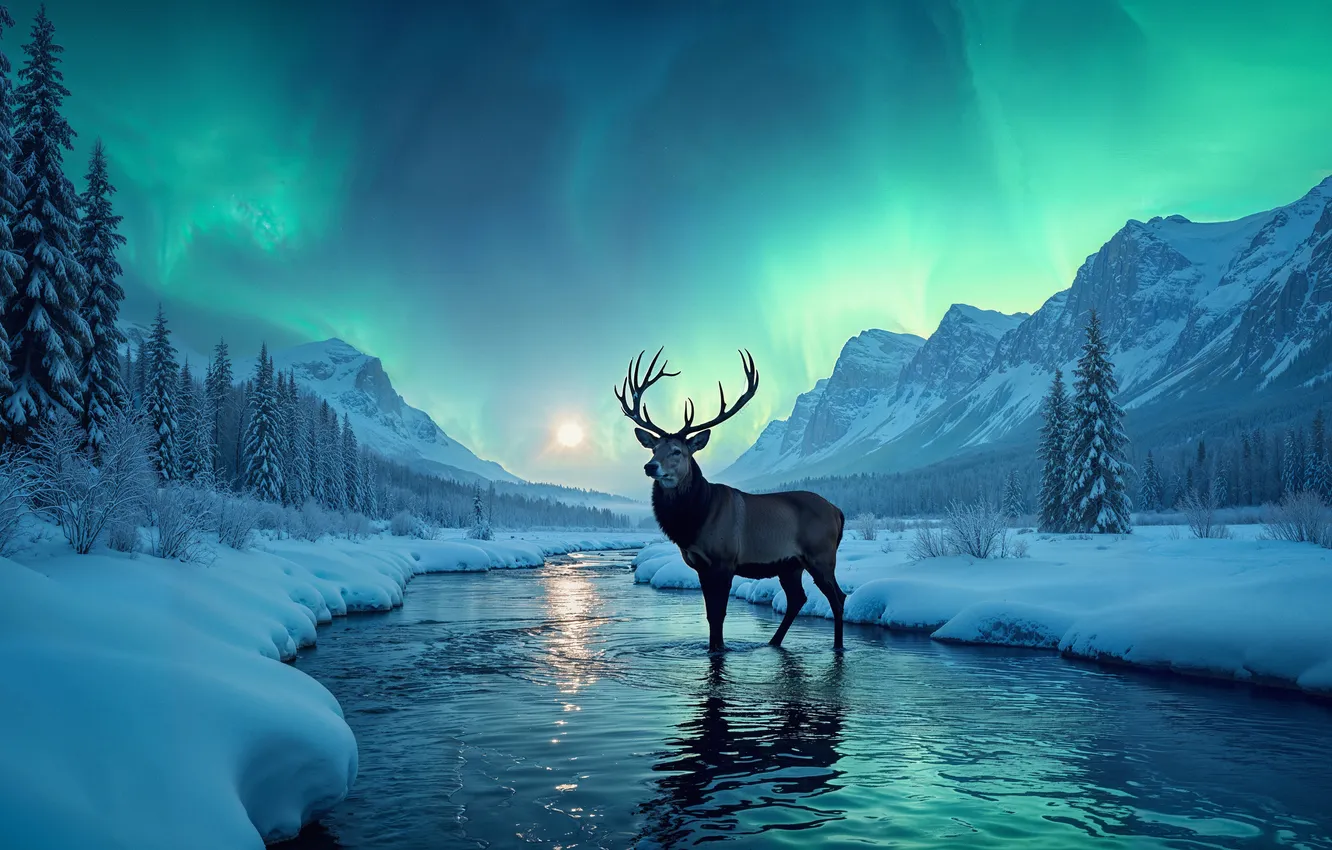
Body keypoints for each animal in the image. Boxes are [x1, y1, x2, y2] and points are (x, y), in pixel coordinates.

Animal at [615, 347, 848, 653]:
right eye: (654, 448)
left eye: (678, 451)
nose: (650, 466)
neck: (694, 521)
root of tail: (838, 512)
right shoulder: (700, 565)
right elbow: (710, 614)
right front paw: (714, 648)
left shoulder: (725, 561)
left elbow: (719, 614)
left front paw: (719, 649)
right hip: (790, 564)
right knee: (798, 599)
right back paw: (772, 643)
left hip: (821, 555)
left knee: (838, 598)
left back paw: (837, 647)